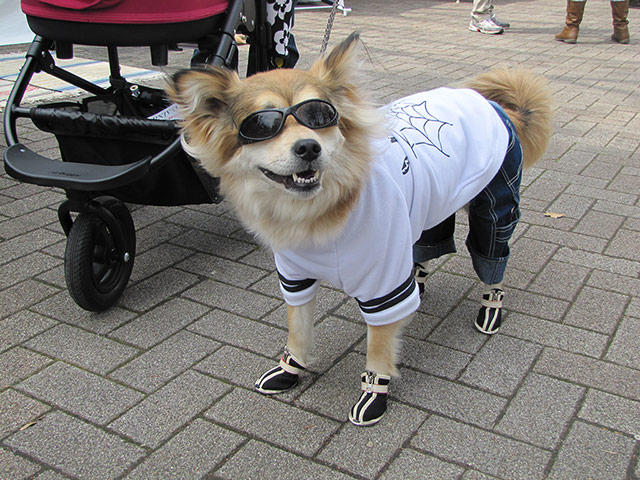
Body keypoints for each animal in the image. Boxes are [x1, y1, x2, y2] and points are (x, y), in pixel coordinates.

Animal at [168, 31, 552, 426]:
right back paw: (417, 283)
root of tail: (492, 105)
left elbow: (378, 348)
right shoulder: (294, 277)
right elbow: (298, 329)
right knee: (430, 244)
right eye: (261, 126)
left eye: (320, 116)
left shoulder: (382, 285)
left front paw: (374, 393)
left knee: (492, 259)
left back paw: (491, 306)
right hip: (435, 200)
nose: (308, 147)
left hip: (495, 208)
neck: (320, 216)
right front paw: (290, 369)